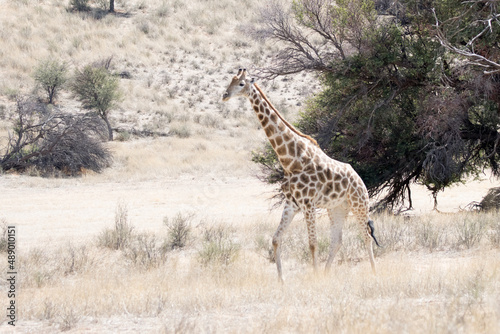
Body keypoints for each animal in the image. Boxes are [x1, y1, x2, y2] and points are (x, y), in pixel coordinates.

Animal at [223, 69, 378, 280]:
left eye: (241, 84)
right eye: (230, 81)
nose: (224, 95)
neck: (291, 161)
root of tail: (359, 179)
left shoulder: (308, 203)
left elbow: (312, 244)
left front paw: (314, 277)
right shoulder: (292, 203)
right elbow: (275, 239)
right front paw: (282, 280)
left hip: (359, 204)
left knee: (366, 237)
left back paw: (374, 272)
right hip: (337, 208)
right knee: (337, 240)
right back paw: (327, 273)